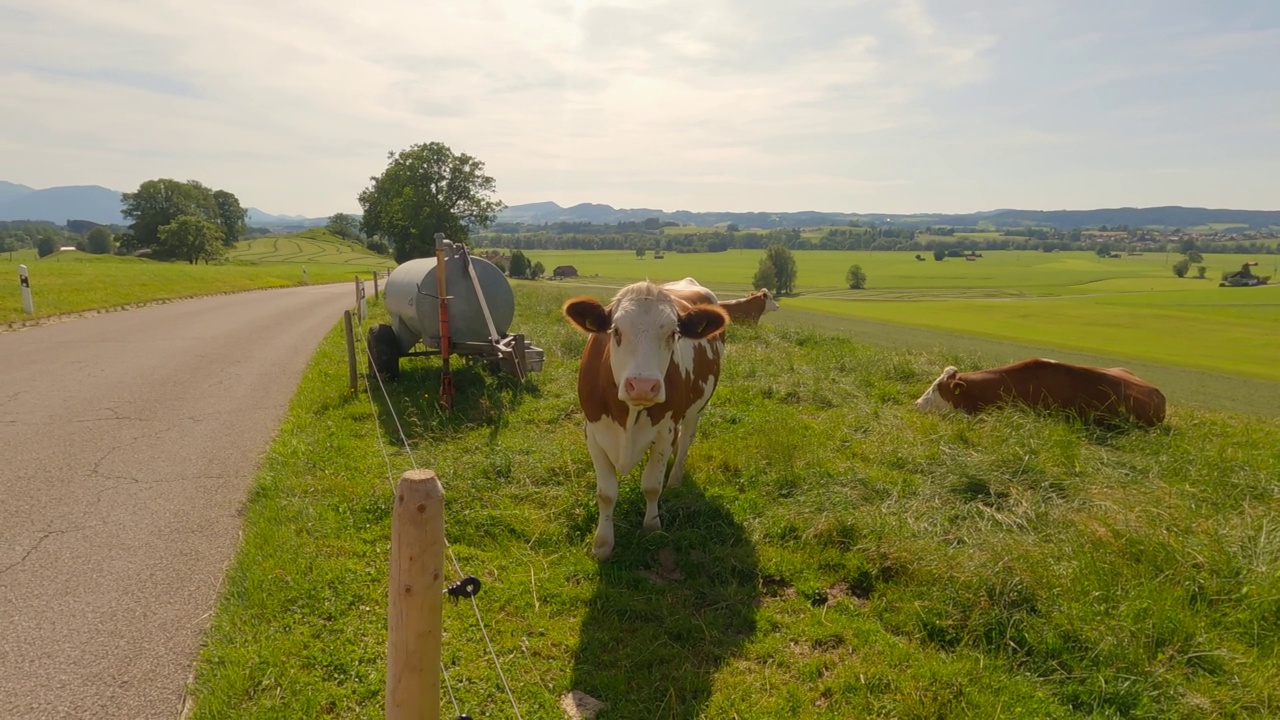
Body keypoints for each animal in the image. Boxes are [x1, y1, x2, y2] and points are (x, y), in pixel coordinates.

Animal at [563, 278, 732, 558]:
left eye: (673, 334)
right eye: (616, 331)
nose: (642, 386)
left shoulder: (665, 432)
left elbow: (652, 485)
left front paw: (652, 526)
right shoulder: (594, 434)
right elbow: (606, 493)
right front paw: (603, 543)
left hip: (696, 410)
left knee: (685, 440)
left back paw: (675, 479)